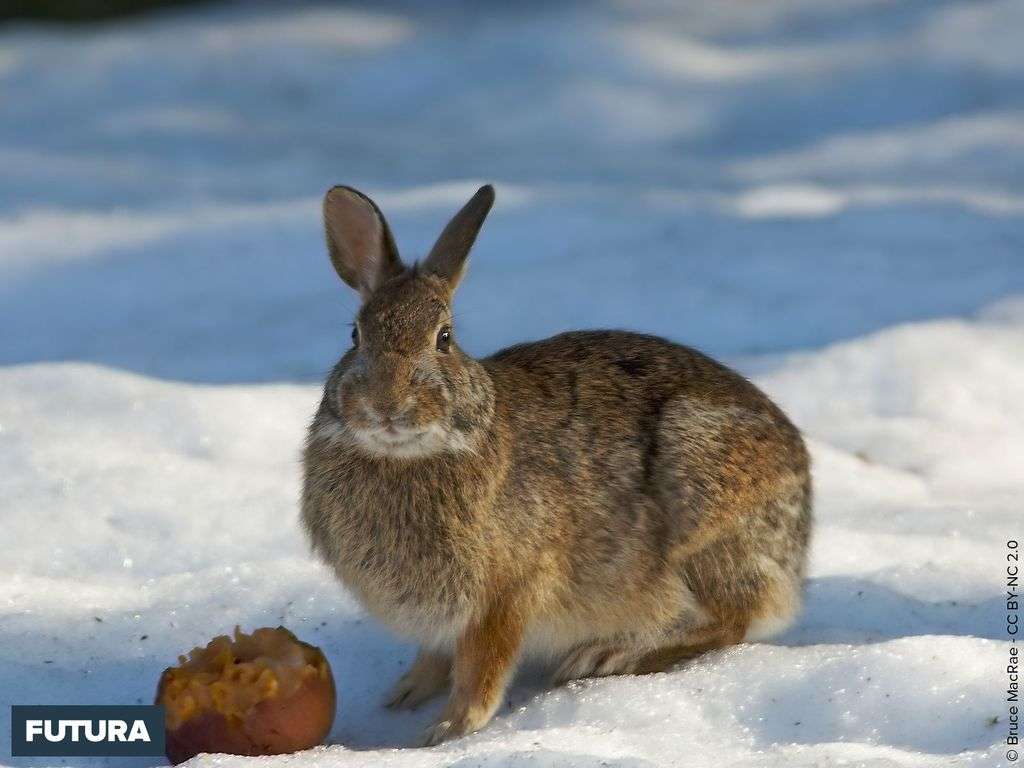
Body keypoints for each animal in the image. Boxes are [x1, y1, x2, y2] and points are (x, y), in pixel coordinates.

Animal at [299, 183, 811, 749]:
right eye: (355, 336)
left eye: (444, 338)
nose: (386, 406)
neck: (410, 454)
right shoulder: (445, 617)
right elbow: (435, 655)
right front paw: (404, 694)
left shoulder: (510, 589)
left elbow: (484, 666)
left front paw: (449, 729)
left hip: (702, 520)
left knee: (732, 618)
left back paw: (607, 654)